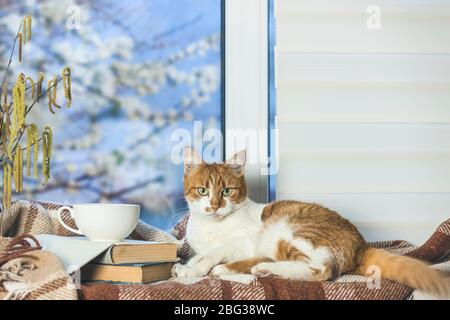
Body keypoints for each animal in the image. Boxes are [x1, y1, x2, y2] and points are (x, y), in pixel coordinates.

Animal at [172, 148, 450, 298]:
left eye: (227, 191)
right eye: (202, 191)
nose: (215, 206)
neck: (212, 227)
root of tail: (361, 243)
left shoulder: (245, 241)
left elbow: (212, 254)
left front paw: (195, 270)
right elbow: (198, 256)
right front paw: (185, 268)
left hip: (290, 231)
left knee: (322, 269)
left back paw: (253, 269)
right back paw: (260, 269)